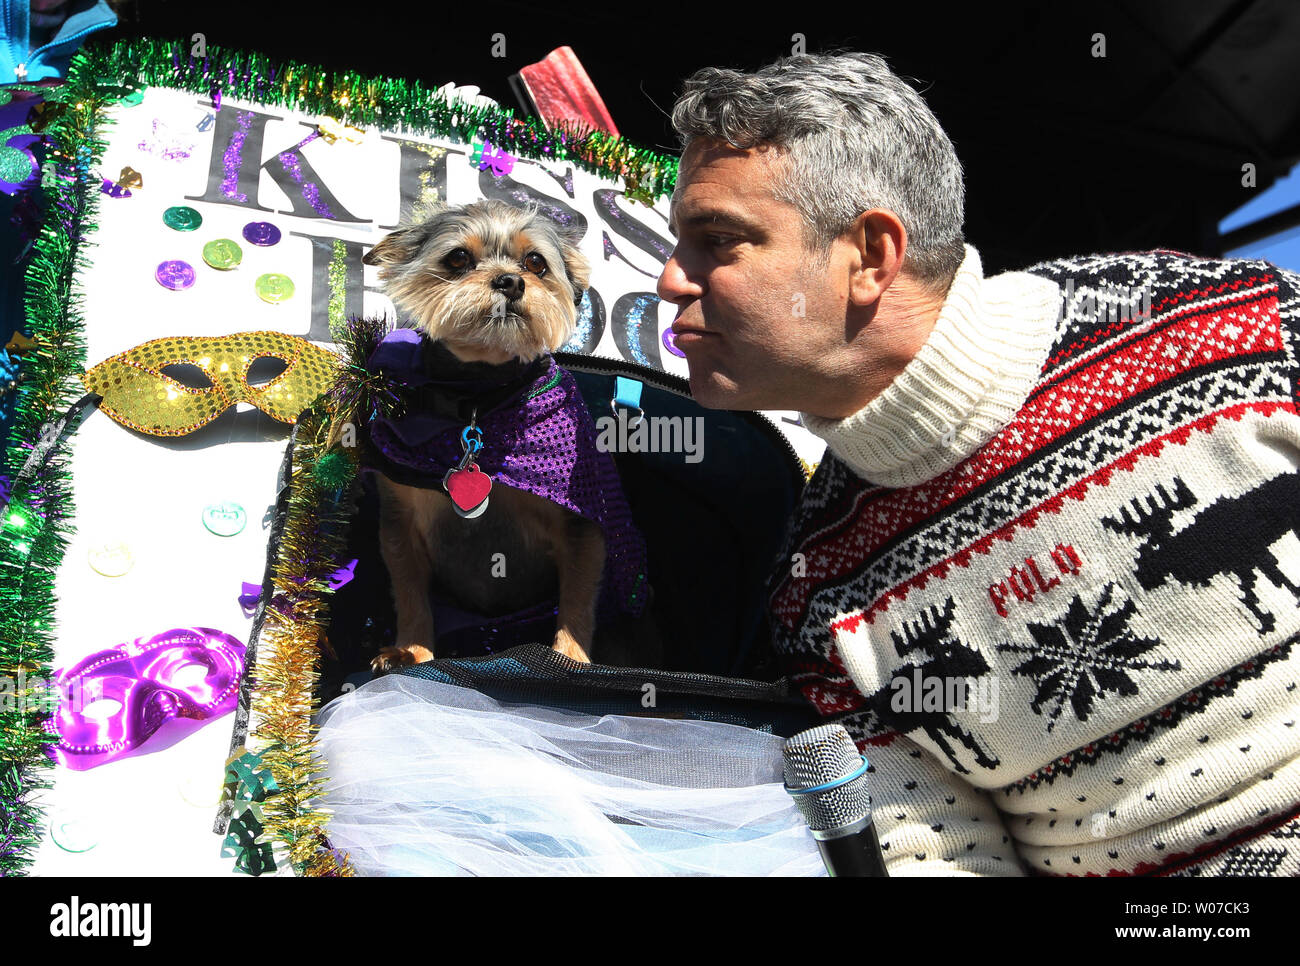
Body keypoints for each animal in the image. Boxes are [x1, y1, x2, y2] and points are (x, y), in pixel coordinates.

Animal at [361, 198, 650, 670]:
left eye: (535, 262)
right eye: (457, 258)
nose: (511, 280)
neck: (480, 396)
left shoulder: (583, 527)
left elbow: (576, 607)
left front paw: (570, 662)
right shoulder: (399, 523)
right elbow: (410, 596)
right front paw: (411, 651)